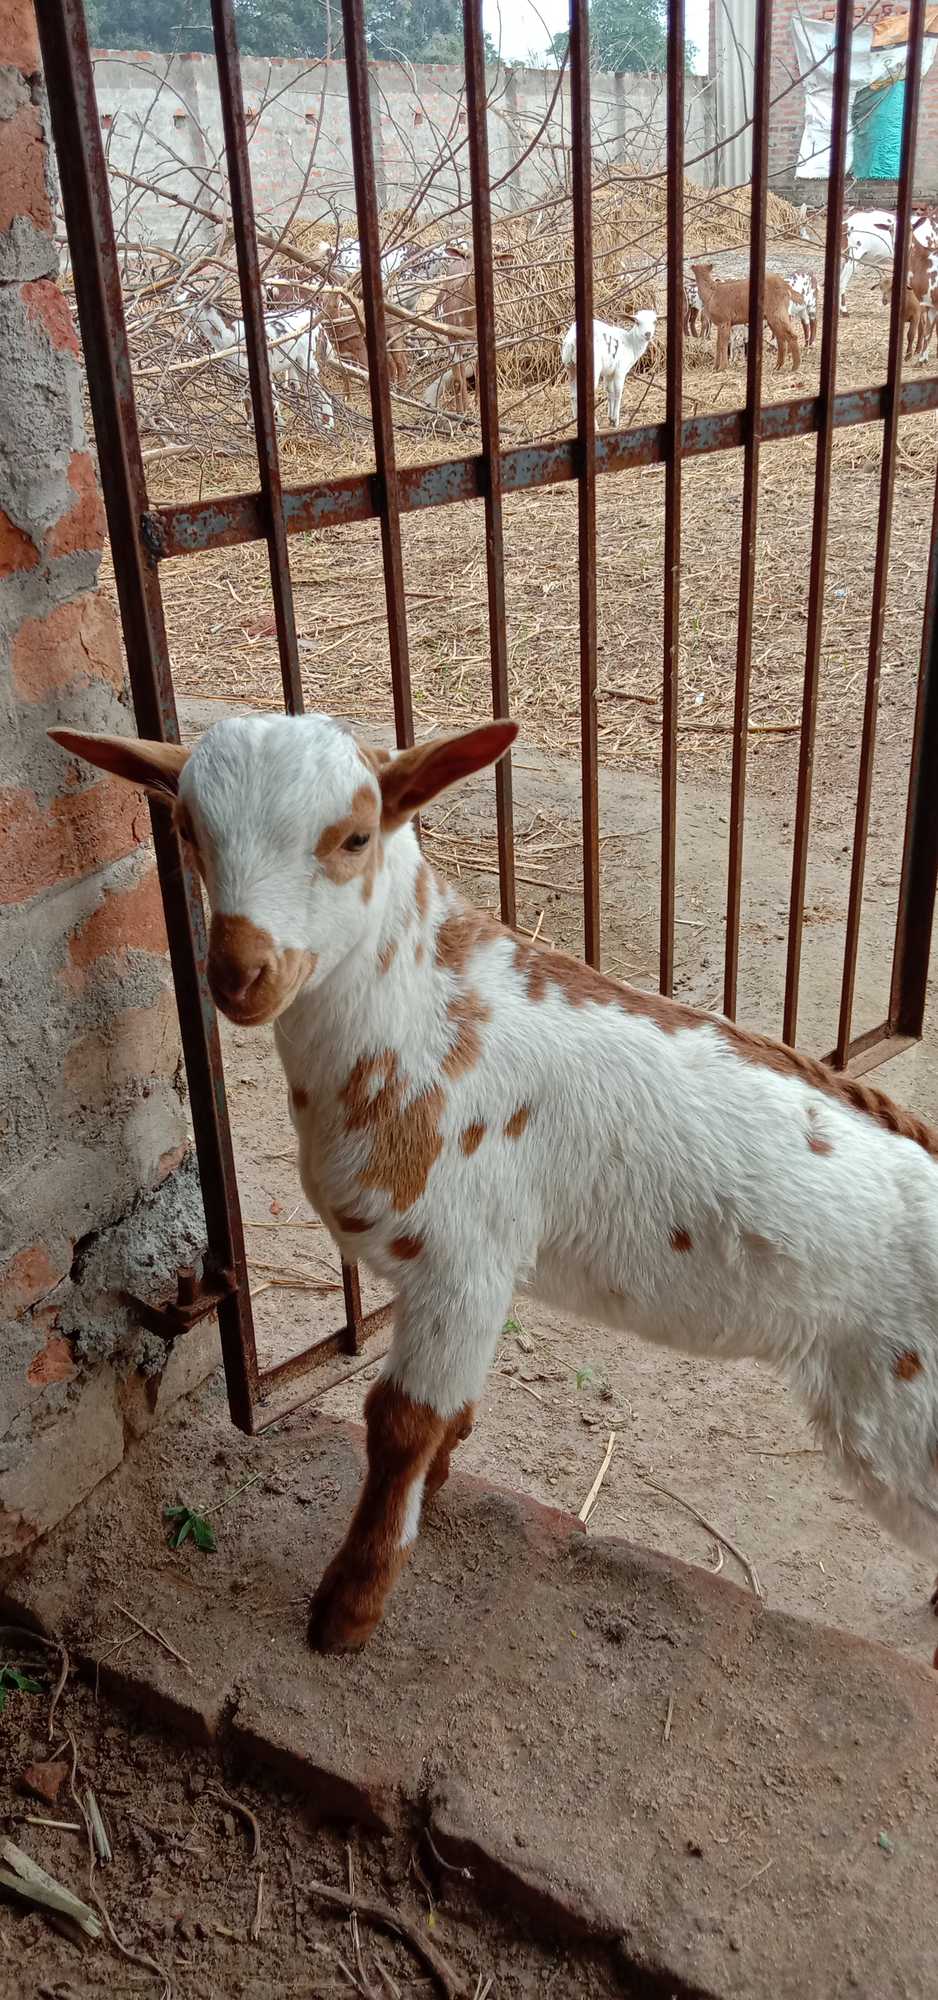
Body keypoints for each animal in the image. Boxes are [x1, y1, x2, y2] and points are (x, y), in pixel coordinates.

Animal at [49, 713, 938, 1654]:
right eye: (186, 829)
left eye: (355, 837)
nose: (240, 974)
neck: (425, 1023)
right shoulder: (471, 1274)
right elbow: (446, 1414)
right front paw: (433, 1491)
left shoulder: (462, 1260)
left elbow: (398, 1424)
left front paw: (349, 1607)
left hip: (900, 1410)